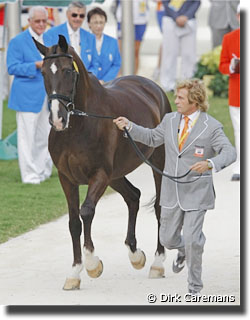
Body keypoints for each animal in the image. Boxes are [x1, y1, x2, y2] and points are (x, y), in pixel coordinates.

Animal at [34, 35, 172, 290]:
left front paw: (92, 264)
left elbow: (86, 212)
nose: (57, 119)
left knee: (159, 207)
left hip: (157, 161)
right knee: (133, 197)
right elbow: (73, 222)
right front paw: (74, 273)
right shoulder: (67, 178)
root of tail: (152, 86)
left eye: (67, 71)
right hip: (115, 175)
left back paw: (157, 263)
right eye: (44, 72)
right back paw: (135, 255)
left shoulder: (98, 175)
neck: (78, 125)